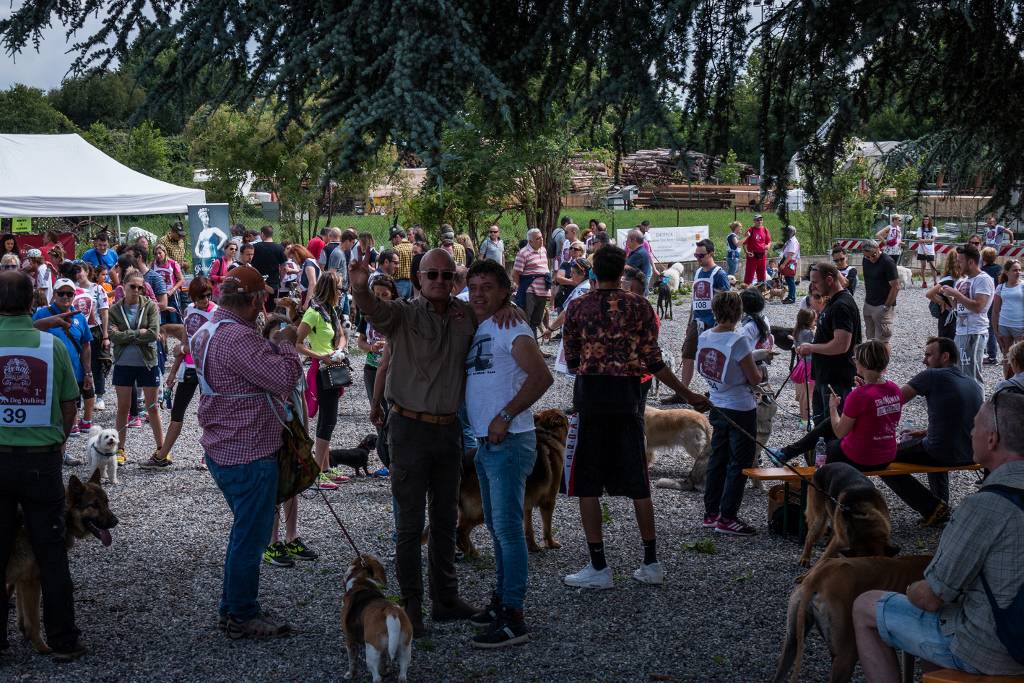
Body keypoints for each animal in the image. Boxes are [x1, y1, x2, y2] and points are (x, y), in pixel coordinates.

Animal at [5, 466, 117, 655]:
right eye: (93, 505)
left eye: (106, 502)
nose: (116, 522)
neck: (63, 516)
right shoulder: (32, 581)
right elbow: (34, 620)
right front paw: (42, 647)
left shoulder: (20, 580)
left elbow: (21, 610)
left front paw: (23, 632)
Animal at [456, 409, 569, 557]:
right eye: (565, 418)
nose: (570, 413)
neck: (547, 434)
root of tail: (462, 467)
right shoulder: (548, 501)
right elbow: (547, 527)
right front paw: (550, 543)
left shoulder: (526, 503)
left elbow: (528, 528)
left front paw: (532, 546)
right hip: (481, 510)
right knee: (460, 531)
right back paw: (472, 553)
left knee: (461, 531)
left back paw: (471, 551)